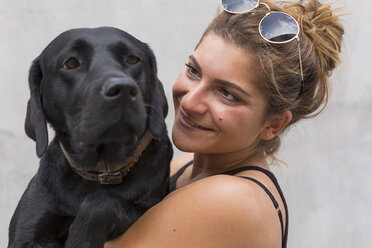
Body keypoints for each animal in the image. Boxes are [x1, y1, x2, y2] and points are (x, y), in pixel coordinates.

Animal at [7, 27, 173, 248]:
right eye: (71, 63)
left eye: (132, 59)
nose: (122, 89)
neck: (98, 169)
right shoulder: (26, 232)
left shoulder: (149, 210)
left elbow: (102, 201)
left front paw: (80, 236)